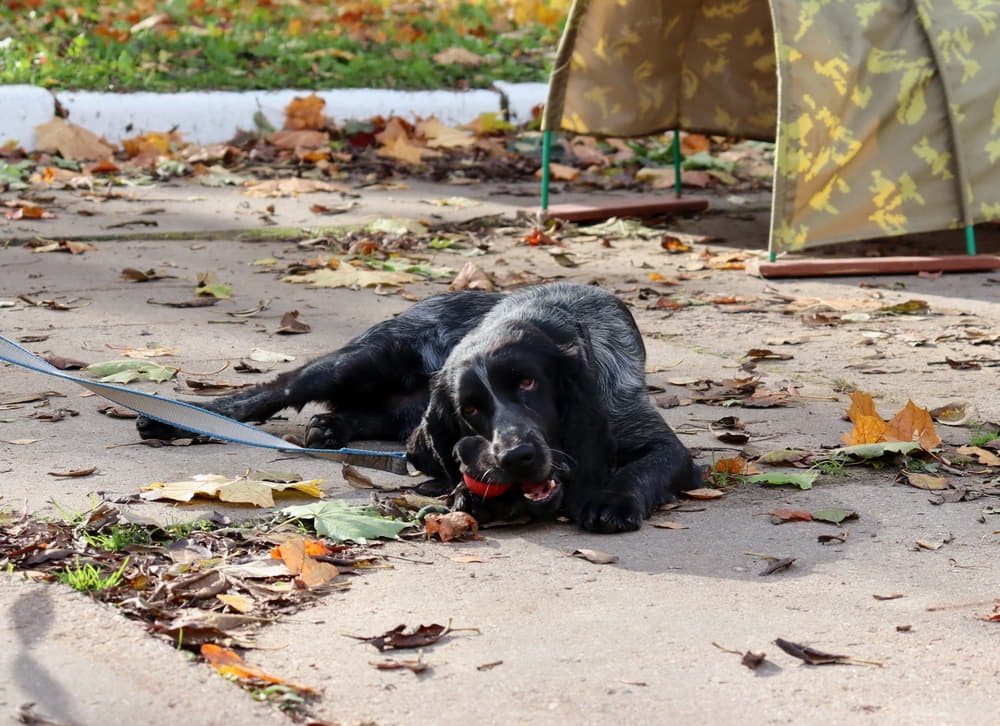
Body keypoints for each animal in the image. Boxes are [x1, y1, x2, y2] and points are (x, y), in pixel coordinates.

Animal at [141, 284, 700, 536]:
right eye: (471, 408)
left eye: (529, 383)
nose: (517, 457)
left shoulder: (656, 439)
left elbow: (645, 467)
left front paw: (610, 500)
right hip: (361, 358)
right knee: (276, 389)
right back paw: (174, 417)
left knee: (370, 415)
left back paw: (330, 426)